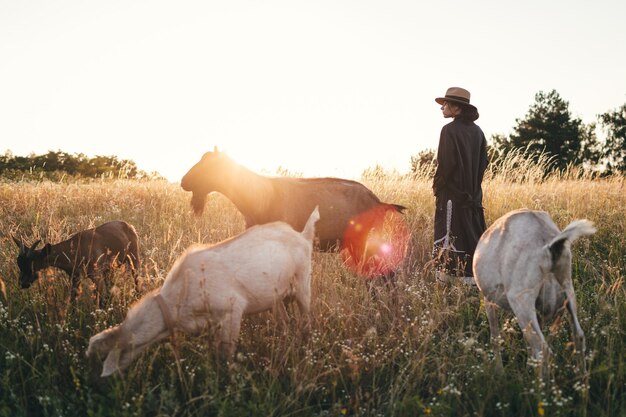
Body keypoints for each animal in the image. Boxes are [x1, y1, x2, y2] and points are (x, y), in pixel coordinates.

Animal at [12, 219, 140, 304]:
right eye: (19, 264)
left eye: (32, 264)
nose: (23, 283)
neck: (74, 249)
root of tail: (129, 226)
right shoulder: (75, 276)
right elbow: (73, 298)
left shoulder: (96, 275)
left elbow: (99, 299)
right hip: (109, 269)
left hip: (134, 258)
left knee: (136, 277)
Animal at [85, 206, 320, 376]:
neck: (178, 298)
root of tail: (302, 235)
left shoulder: (232, 311)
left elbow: (226, 353)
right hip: (276, 296)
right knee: (285, 322)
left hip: (303, 284)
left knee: (306, 320)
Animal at [472, 208, 596, 376]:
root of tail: (549, 247)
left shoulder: (488, 300)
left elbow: (495, 337)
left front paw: (499, 371)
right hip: (568, 289)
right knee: (578, 336)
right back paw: (582, 380)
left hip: (521, 300)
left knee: (543, 350)